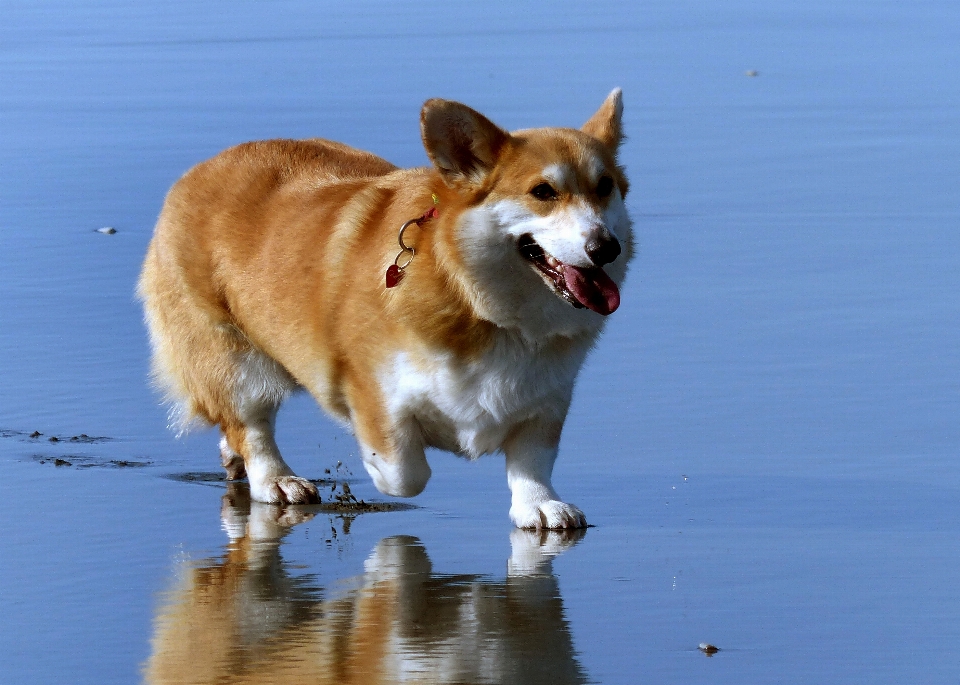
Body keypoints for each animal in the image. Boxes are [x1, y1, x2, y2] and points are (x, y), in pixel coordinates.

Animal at [135, 89, 632, 528]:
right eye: (543, 192)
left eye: (605, 187)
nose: (606, 247)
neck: (480, 302)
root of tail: (202, 168)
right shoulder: (373, 392)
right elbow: (404, 472)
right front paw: (381, 467)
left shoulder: (545, 401)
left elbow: (533, 463)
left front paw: (539, 507)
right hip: (235, 362)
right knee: (252, 428)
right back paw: (276, 480)